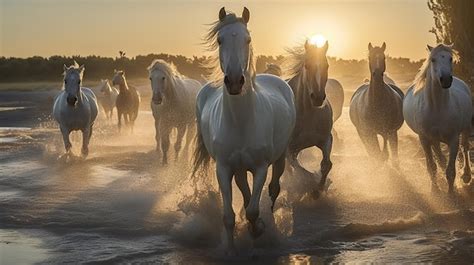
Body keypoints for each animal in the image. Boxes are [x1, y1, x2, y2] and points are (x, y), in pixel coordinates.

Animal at [193, 7, 296, 253]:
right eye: (220, 40)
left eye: (247, 39)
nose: (234, 82)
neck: (241, 122)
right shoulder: (223, 168)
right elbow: (229, 216)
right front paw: (231, 250)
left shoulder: (260, 167)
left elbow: (253, 210)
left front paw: (258, 229)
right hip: (238, 168)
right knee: (244, 188)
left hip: (279, 158)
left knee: (274, 188)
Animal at [404, 42, 470, 192]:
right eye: (433, 60)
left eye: (450, 59)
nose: (445, 80)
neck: (437, 107)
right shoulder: (425, 140)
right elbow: (432, 166)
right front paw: (434, 189)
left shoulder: (453, 140)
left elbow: (450, 170)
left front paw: (451, 192)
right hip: (434, 140)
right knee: (440, 156)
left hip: (467, 128)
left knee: (465, 148)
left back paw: (466, 176)